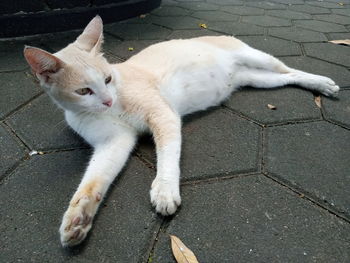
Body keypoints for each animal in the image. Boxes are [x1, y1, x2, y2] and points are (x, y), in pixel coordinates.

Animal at [22, 16, 340, 248]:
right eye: (83, 91)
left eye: (108, 79)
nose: (108, 100)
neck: (114, 105)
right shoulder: (114, 142)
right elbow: (94, 179)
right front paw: (79, 217)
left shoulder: (163, 115)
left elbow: (168, 155)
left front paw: (164, 190)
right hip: (258, 80)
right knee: (286, 78)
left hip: (257, 58)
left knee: (289, 69)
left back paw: (323, 83)